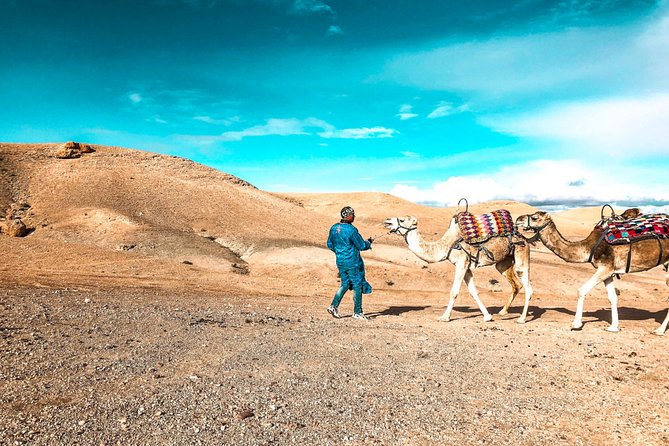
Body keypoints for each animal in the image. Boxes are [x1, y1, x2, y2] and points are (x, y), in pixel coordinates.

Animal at [384, 215, 533, 323]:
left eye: (402, 219)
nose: (387, 221)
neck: (446, 245)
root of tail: (525, 239)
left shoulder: (461, 262)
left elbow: (453, 292)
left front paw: (444, 317)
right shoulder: (466, 266)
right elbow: (473, 291)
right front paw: (487, 317)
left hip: (521, 253)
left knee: (528, 286)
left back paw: (522, 319)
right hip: (502, 263)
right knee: (516, 284)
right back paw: (502, 312)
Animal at [516, 211, 669, 334]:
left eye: (535, 218)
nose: (518, 219)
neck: (588, 247)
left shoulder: (605, 267)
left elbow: (581, 290)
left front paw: (576, 323)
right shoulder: (608, 271)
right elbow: (612, 297)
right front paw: (613, 327)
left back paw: (659, 330)